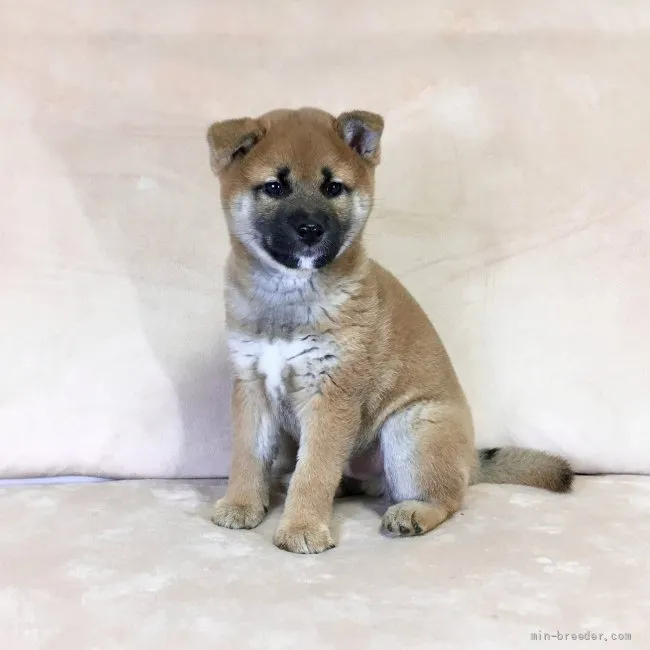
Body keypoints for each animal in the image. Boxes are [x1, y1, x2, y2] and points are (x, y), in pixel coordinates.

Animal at [205, 106, 568, 552]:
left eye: (333, 187)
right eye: (274, 186)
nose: (310, 230)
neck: (288, 295)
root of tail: (471, 461)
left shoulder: (331, 395)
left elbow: (315, 471)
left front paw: (302, 526)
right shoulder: (251, 385)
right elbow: (248, 455)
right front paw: (242, 504)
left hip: (410, 429)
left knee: (448, 498)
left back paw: (413, 513)